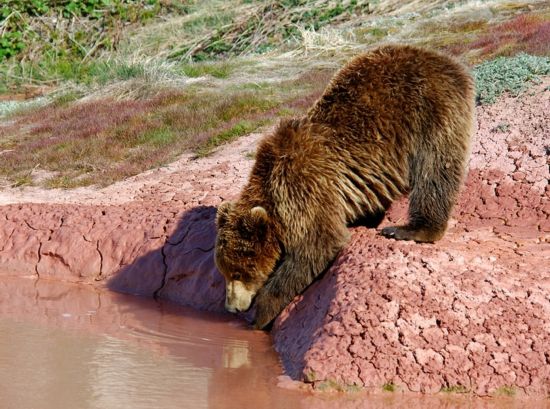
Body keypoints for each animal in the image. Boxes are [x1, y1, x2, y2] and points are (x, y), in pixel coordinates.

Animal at [213, 43, 476, 328]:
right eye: (224, 271)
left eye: (238, 273)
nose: (231, 307)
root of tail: (443, 59)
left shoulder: (303, 184)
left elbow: (318, 243)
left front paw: (260, 314)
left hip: (429, 110)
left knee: (435, 171)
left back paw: (409, 229)